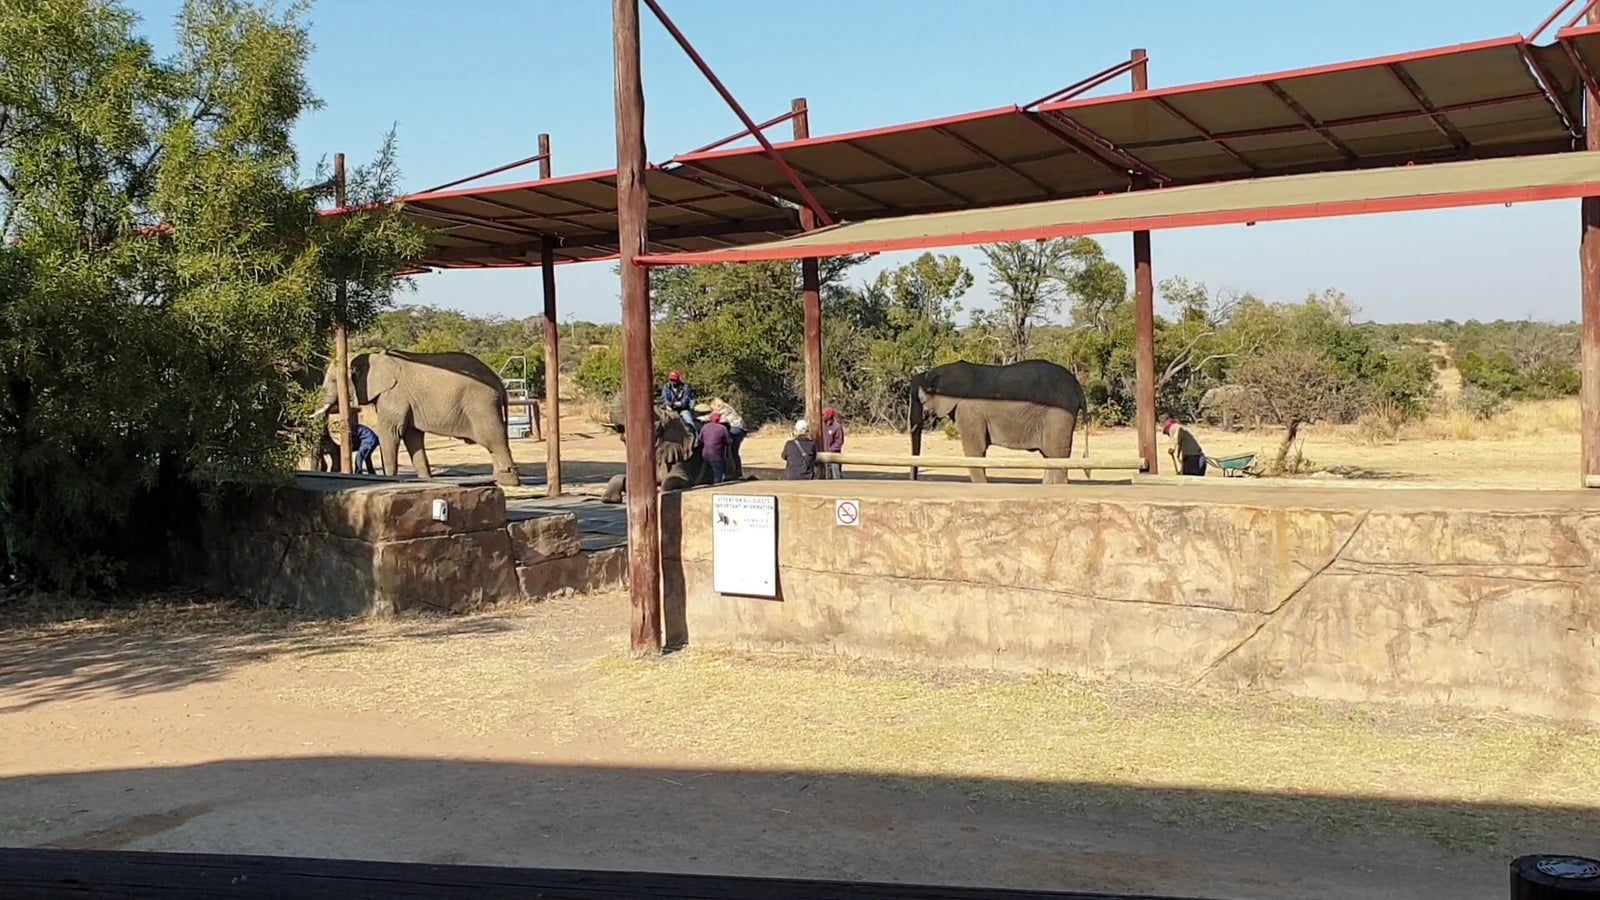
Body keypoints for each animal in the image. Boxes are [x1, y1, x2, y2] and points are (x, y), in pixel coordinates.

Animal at [315, 349, 520, 487]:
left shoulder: (394, 394)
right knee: (493, 443)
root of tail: (499, 382)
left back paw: (507, 482)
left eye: (333, 380)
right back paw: (498, 479)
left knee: (494, 439)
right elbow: (412, 436)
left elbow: (391, 432)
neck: (372, 357)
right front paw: (425, 479)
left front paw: (390, 479)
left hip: (482, 404)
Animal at [908, 359, 1088, 484]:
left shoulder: (969, 411)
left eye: (920, 399)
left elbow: (975, 450)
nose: (914, 480)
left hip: (1058, 415)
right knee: (1050, 456)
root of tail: (1077, 387)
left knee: (1057, 455)